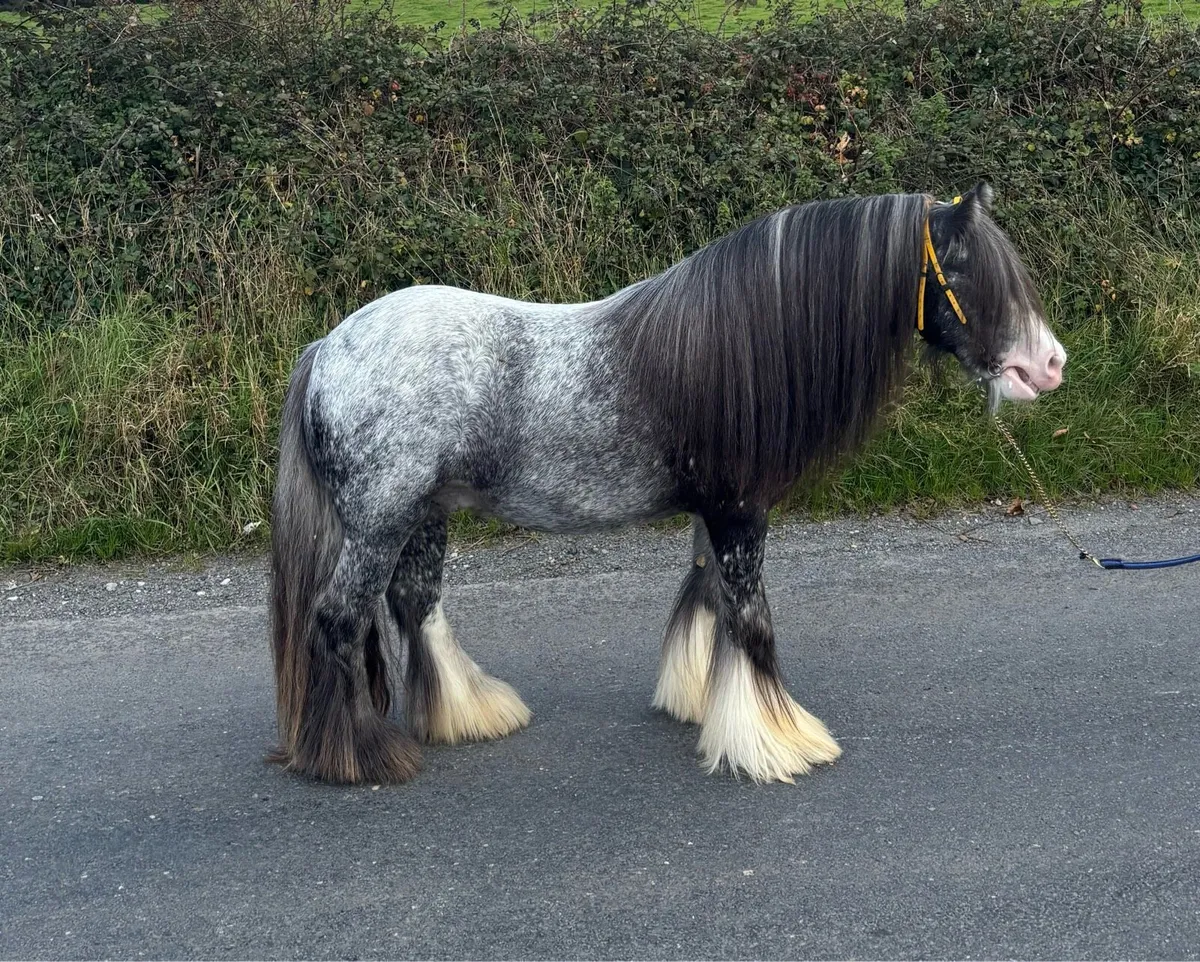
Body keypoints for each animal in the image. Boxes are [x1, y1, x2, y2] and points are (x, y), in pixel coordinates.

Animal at [267, 182, 1067, 786]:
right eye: (961, 270)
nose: (1049, 365)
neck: (735, 344)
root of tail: (328, 347)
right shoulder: (740, 512)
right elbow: (751, 619)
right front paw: (779, 740)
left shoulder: (716, 514)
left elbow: (709, 599)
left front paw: (705, 705)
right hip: (379, 522)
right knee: (338, 619)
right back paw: (362, 757)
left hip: (424, 513)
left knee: (415, 603)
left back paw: (467, 714)